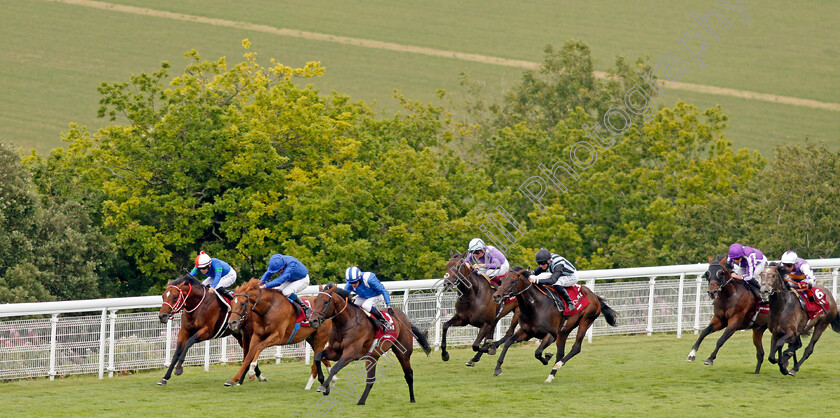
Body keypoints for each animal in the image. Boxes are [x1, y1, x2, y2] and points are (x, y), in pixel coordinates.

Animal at [306, 284, 434, 404]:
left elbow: (334, 368)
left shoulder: (350, 354)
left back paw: (412, 399)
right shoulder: (335, 352)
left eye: (326, 302)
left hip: (403, 353)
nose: (312, 321)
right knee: (370, 380)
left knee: (409, 374)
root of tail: (403, 317)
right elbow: (317, 357)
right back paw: (361, 401)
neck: (345, 324)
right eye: (315, 301)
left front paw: (323, 387)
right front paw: (323, 382)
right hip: (372, 358)